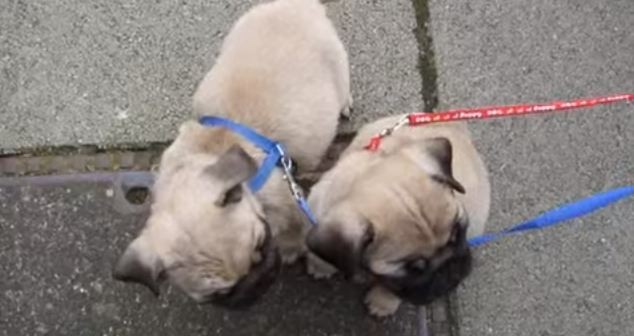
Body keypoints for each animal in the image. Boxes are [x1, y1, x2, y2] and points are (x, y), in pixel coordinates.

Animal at [113, 0, 350, 310]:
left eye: (261, 242)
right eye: (218, 295)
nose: (259, 283)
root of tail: (297, 5)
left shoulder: (290, 204)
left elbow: (293, 232)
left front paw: (291, 250)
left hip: (337, 63)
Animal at [304, 115, 488, 316]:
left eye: (458, 232)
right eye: (415, 268)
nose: (450, 267)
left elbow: (397, 291)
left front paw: (382, 302)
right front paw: (320, 265)